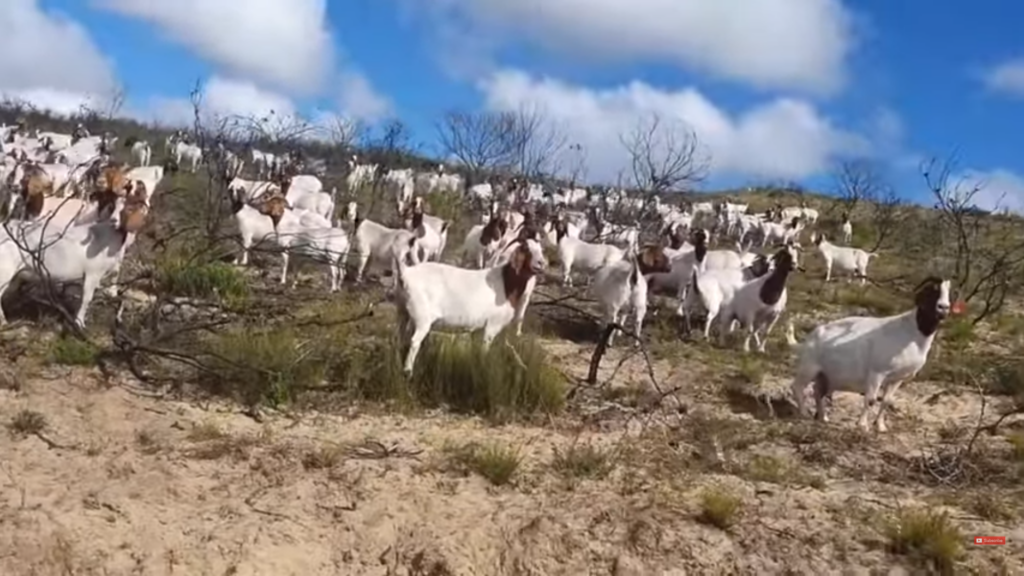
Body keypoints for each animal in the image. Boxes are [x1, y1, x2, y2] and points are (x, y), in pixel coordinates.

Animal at [394, 237, 546, 374]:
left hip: (402, 312)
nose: (541, 263)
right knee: (414, 342)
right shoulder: (492, 326)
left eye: (541, 249)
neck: (506, 283)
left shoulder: (480, 329)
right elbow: (485, 350)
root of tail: (406, 273)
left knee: (400, 336)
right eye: (526, 248)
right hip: (422, 318)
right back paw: (408, 372)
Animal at [789, 277, 952, 432]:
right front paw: (862, 426)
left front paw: (880, 426)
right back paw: (803, 413)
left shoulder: (897, 379)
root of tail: (809, 339)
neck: (911, 332)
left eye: (949, 292)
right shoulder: (877, 373)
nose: (943, 308)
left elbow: (886, 401)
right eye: (932, 290)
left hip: (826, 376)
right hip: (809, 367)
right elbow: (871, 399)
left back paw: (823, 417)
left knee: (818, 392)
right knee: (797, 386)